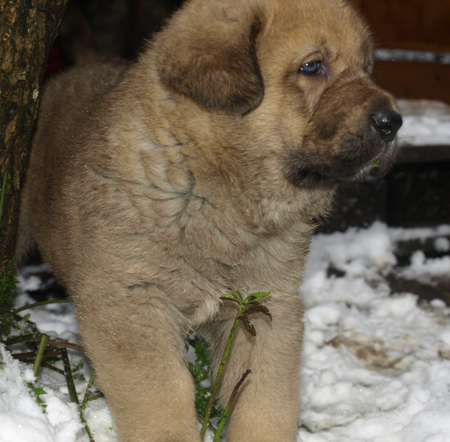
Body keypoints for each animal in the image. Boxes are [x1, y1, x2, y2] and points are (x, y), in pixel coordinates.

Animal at [16, 0, 400, 442]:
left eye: (367, 68)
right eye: (312, 66)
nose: (393, 122)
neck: (214, 186)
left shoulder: (266, 309)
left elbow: (265, 399)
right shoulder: (132, 304)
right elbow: (163, 399)